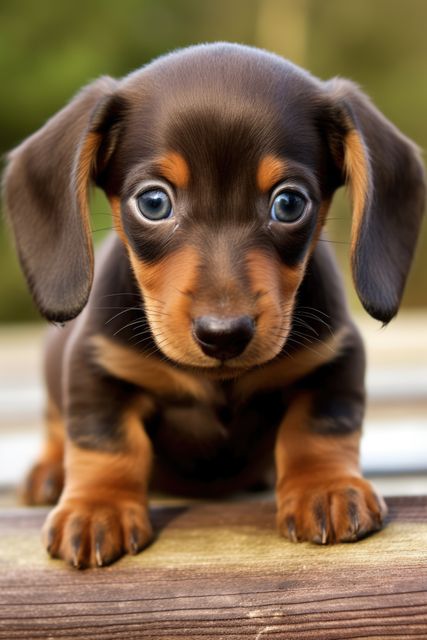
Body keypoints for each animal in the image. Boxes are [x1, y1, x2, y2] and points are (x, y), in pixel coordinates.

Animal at [2, 42, 424, 568]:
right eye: (154, 202)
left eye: (289, 204)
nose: (224, 335)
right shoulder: (96, 364)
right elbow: (104, 440)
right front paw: (98, 507)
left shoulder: (335, 358)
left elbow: (320, 425)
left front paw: (326, 487)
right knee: (56, 424)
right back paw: (48, 472)